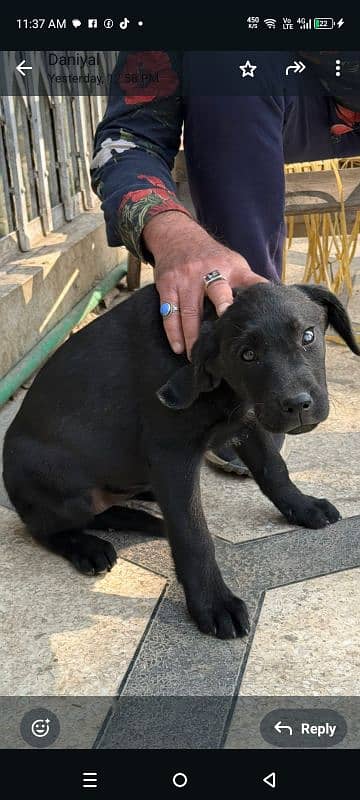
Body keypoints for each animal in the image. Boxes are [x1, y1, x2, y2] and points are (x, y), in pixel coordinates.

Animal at [3, 282, 360, 636]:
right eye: (247, 355)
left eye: (308, 336)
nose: (297, 405)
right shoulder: (172, 456)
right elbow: (193, 534)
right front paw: (213, 603)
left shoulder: (246, 420)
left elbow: (274, 469)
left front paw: (304, 506)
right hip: (61, 484)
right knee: (47, 528)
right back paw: (90, 547)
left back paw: (145, 513)